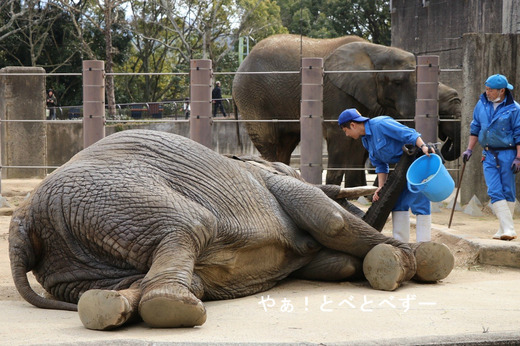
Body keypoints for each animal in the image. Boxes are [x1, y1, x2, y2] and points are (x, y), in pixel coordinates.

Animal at [9, 129, 456, 330]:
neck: (260, 162)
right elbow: (328, 219)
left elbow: (337, 261)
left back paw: (107, 307)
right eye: (295, 170)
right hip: (118, 196)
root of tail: (23, 221)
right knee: (187, 227)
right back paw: (172, 309)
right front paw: (408, 262)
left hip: (72, 255)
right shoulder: (272, 182)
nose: (417, 148)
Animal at [234, 34, 462, 187]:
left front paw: (355, 192)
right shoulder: (337, 92)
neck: (376, 51)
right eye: (397, 82)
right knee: (270, 142)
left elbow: (358, 144)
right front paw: (337, 191)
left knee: (286, 144)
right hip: (253, 98)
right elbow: (340, 139)